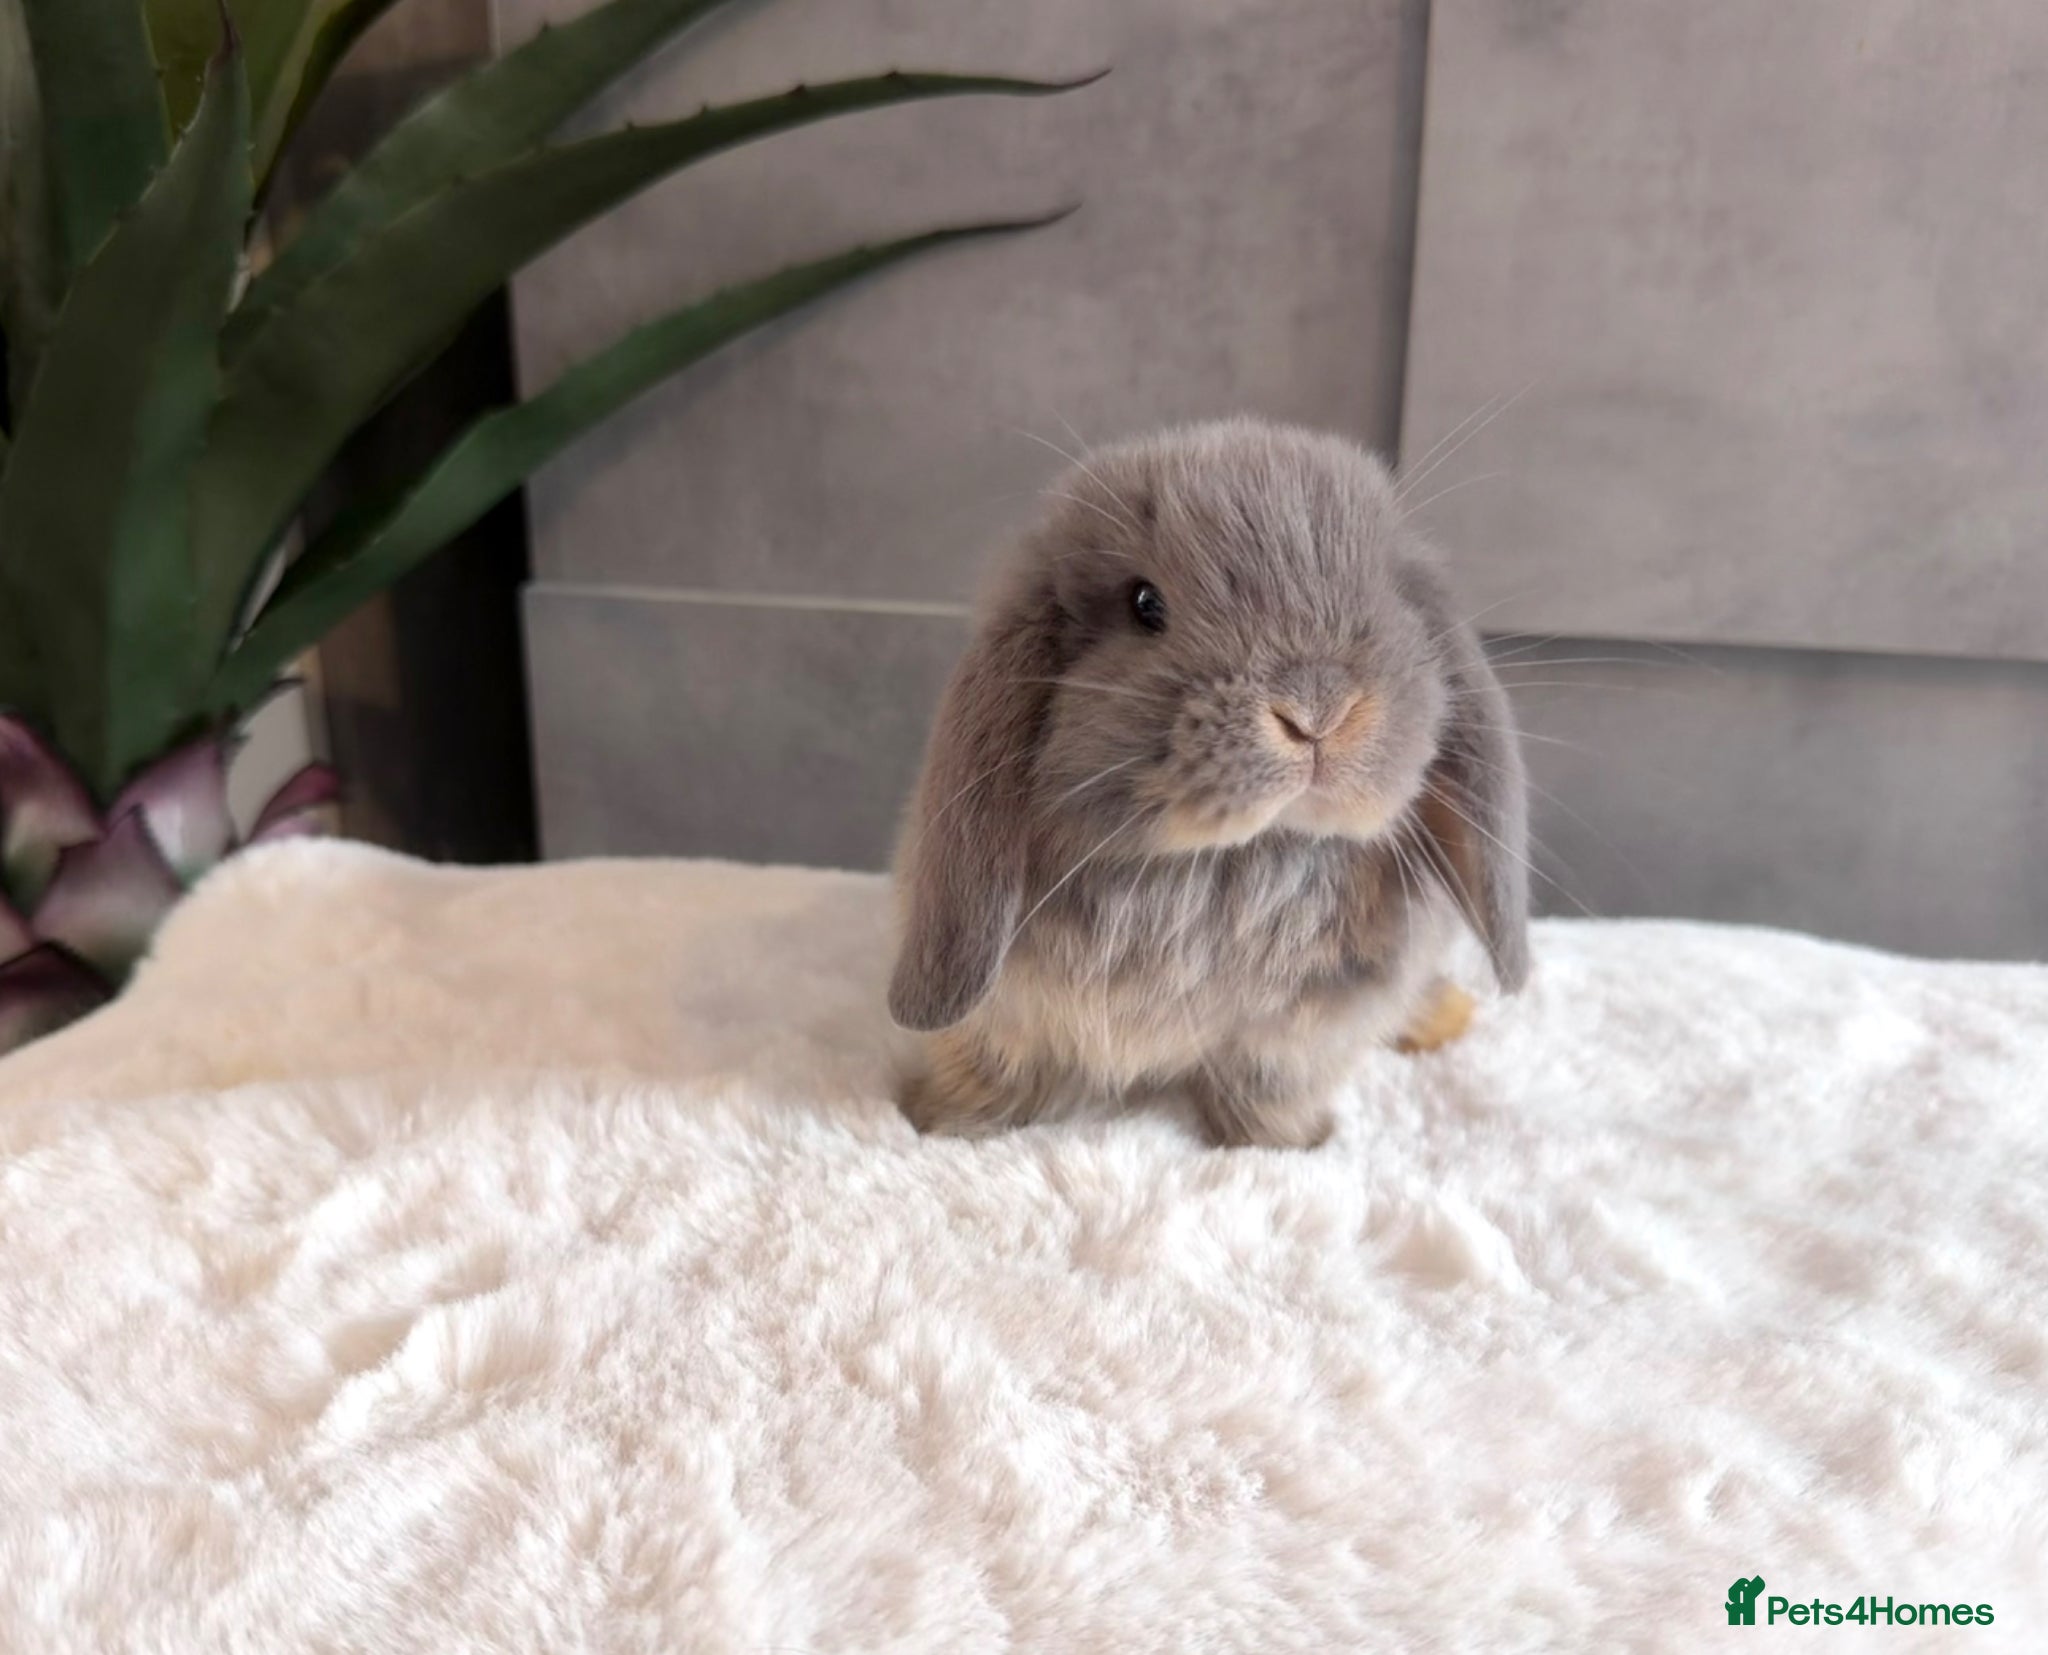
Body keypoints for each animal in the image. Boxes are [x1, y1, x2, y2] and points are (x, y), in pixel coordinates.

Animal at [887, 418, 1529, 1148]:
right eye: (1145, 604)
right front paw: (943, 1123)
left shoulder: (1296, 1040)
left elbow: (1267, 1092)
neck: (1220, 866)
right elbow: (992, 1069)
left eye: (1391, 595)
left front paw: (1293, 1147)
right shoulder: (999, 1018)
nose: (1316, 711)